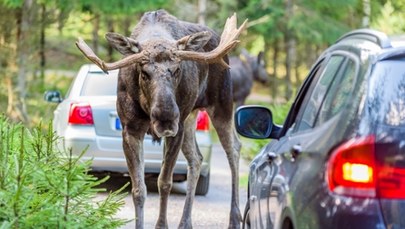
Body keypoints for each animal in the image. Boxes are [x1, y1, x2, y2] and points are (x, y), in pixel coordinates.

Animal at [75, 9, 246, 229]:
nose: (166, 116)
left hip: (221, 104)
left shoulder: (176, 129)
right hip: (190, 117)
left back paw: (234, 218)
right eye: (144, 72)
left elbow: (164, 182)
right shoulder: (130, 130)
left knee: (233, 148)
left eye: (177, 69)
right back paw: (185, 222)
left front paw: (161, 225)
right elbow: (138, 190)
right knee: (196, 158)